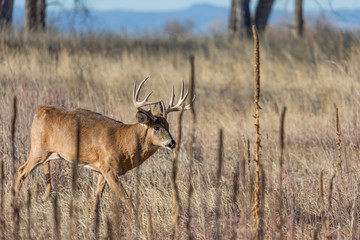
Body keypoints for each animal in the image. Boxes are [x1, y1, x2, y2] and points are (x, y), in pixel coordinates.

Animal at [14, 76, 194, 215]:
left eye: (168, 125)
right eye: (156, 127)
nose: (172, 143)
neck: (123, 142)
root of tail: (39, 110)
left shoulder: (102, 170)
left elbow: (97, 197)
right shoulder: (109, 169)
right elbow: (126, 198)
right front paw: (135, 223)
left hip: (50, 153)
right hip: (37, 148)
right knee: (21, 170)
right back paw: (14, 202)